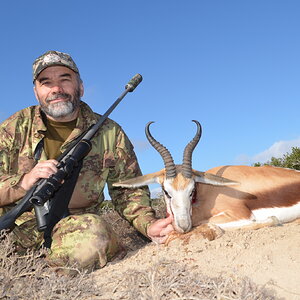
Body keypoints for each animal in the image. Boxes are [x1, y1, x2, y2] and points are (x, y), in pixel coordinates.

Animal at [112, 120, 300, 236]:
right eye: (166, 192)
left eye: (191, 190)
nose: (183, 226)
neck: (205, 195)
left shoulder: (240, 214)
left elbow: (206, 223)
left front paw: (272, 220)